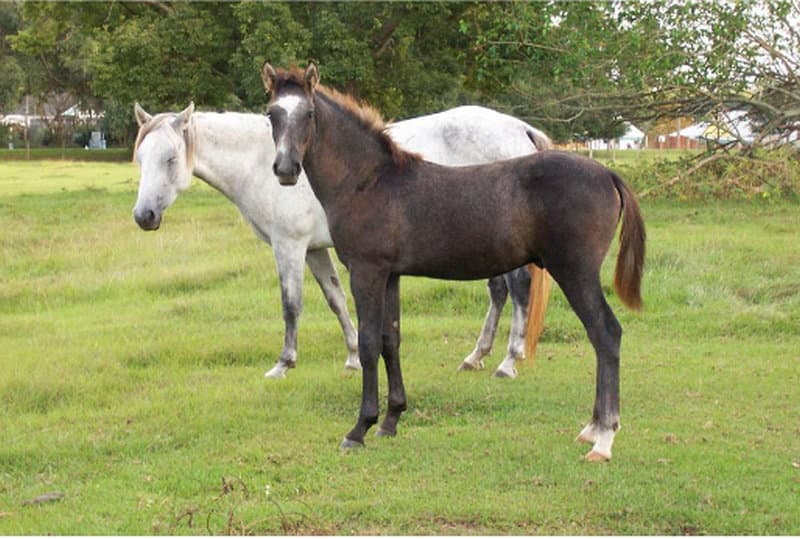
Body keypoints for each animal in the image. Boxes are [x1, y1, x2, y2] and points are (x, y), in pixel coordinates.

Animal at [131, 103, 553, 380]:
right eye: (140, 159)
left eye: (170, 159)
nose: (143, 216)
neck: (264, 162)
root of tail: (519, 128)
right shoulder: (315, 250)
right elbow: (335, 300)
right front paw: (352, 357)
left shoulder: (289, 246)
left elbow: (291, 305)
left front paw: (284, 363)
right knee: (499, 291)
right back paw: (476, 356)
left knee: (519, 289)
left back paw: (508, 361)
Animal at [261, 62, 645, 461]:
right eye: (272, 114)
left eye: (309, 113)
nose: (286, 169)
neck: (369, 181)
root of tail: (608, 174)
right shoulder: (390, 275)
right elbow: (390, 339)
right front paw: (391, 420)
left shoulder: (367, 272)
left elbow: (368, 343)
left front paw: (360, 428)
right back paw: (592, 429)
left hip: (576, 272)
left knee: (606, 334)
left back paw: (603, 438)